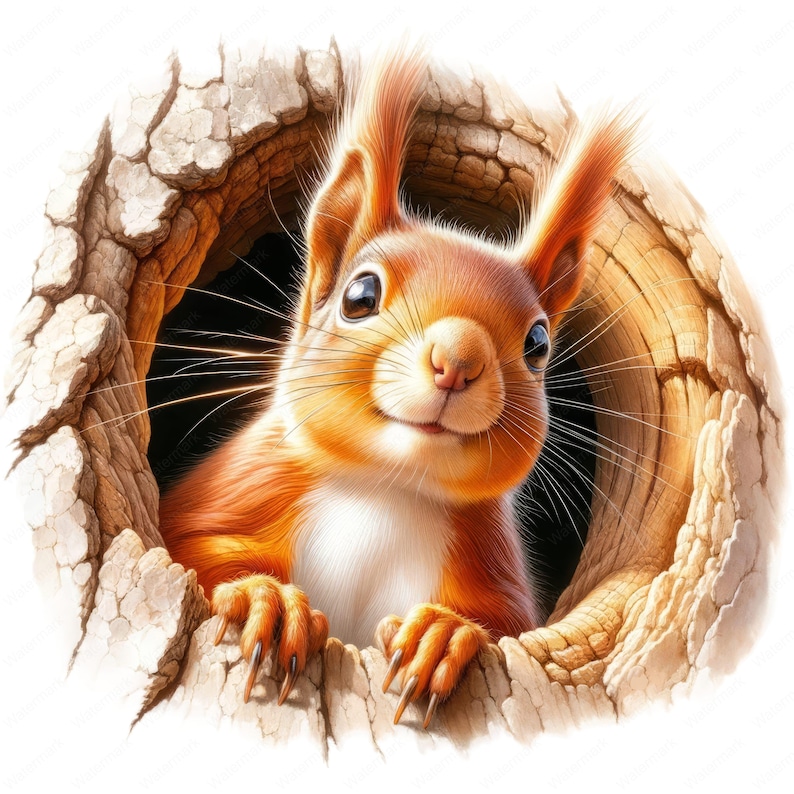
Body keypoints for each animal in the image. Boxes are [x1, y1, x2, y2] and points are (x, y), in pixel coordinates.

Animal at [158, 46, 636, 728]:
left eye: (539, 343)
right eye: (360, 295)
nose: (457, 361)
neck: (386, 490)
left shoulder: (488, 563)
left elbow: (504, 626)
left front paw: (443, 635)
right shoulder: (244, 485)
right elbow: (190, 549)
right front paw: (265, 602)